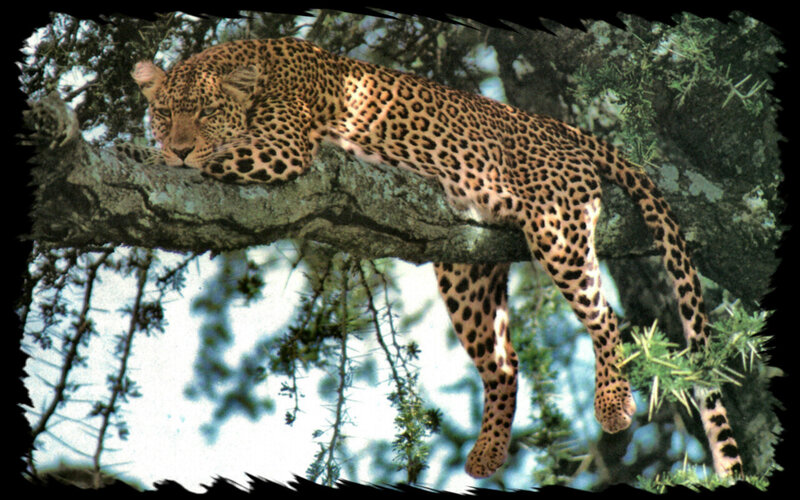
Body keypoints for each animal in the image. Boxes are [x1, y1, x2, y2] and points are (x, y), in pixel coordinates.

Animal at [132, 37, 743, 480]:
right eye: (163, 113)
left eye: (206, 113)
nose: (178, 144)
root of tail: (560, 125)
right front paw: (151, 151)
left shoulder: (282, 148)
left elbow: (210, 159)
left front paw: (146, 156)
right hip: (467, 268)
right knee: (504, 360)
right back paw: (489, 452)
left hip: (558, 230)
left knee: (605, 315)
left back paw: (614, 404)